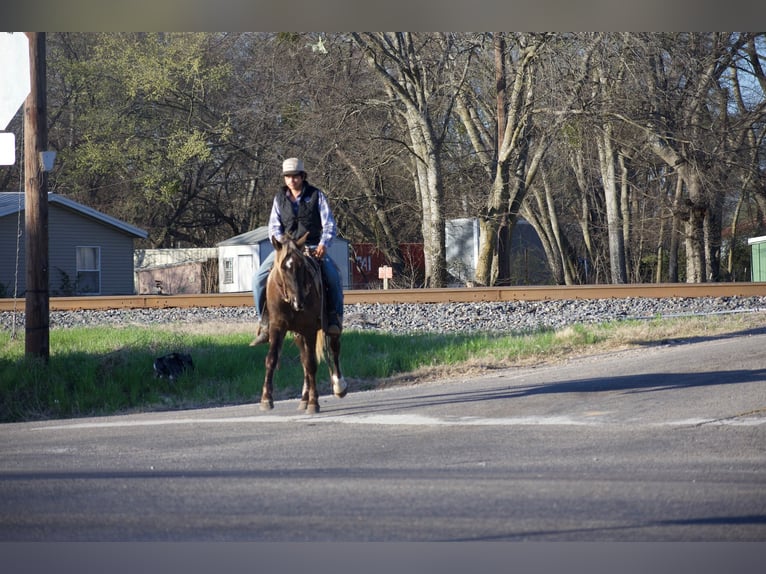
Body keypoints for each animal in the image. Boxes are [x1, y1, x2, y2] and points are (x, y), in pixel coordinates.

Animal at [259, 232, 348, 414]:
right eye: (283, 268)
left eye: (302, 267)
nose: (298, 301)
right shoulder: (277, 327)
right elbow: (271, 359)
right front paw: (266, 399)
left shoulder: (309, 329)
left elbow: (312, 363)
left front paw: (314, 402)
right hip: (297, 334)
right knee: (304, 360)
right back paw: (304, 398)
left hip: (331, 328)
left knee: (334, 350)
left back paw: (339, 386)